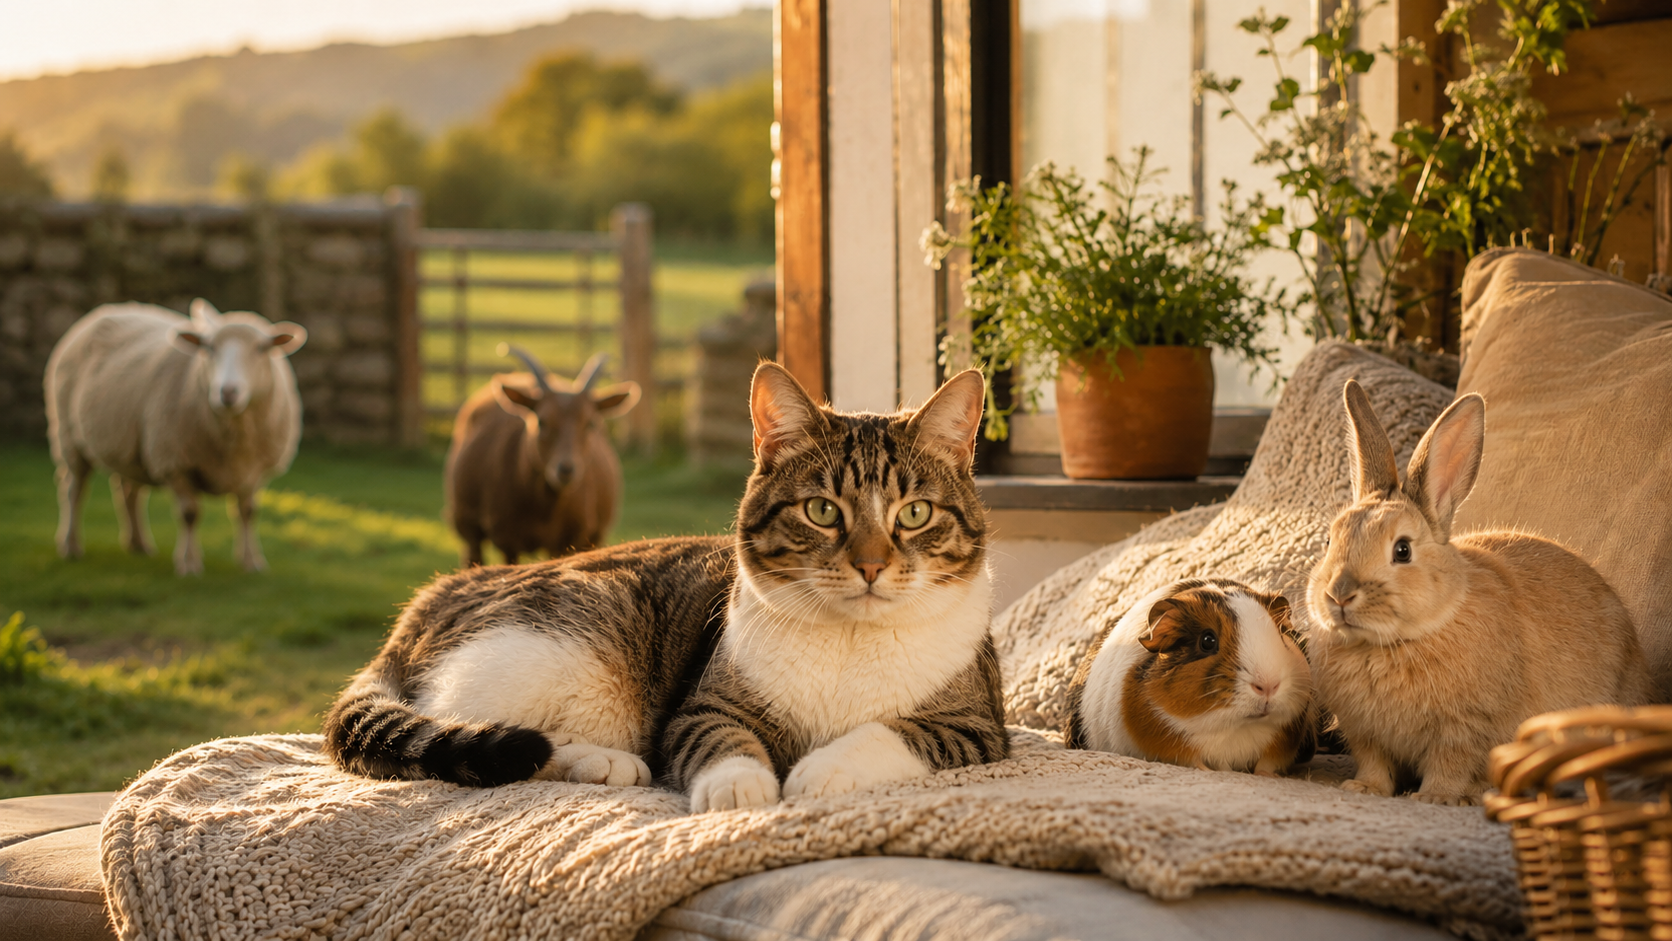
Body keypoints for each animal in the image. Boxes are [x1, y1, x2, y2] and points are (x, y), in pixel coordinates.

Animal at [44, 298, 308, 575]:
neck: (232, 435)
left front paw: (252, 562)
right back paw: (71, 546)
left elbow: (248, 513)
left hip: (130, 444)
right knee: (73, 489)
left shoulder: (256, 471)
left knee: (128, 491)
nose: (227, 392)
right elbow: (189, 514)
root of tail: (112, 308)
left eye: (261, 348)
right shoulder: (175, 463)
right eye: (209, 347)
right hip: (68, 434)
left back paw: (138, 544)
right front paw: (189, 563)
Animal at [444, 345, 641, 566]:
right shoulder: (507, 538)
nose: (566, 469)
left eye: (591, 423)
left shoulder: (568, 540)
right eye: (541, 422)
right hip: (464, 520)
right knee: (472, 551)